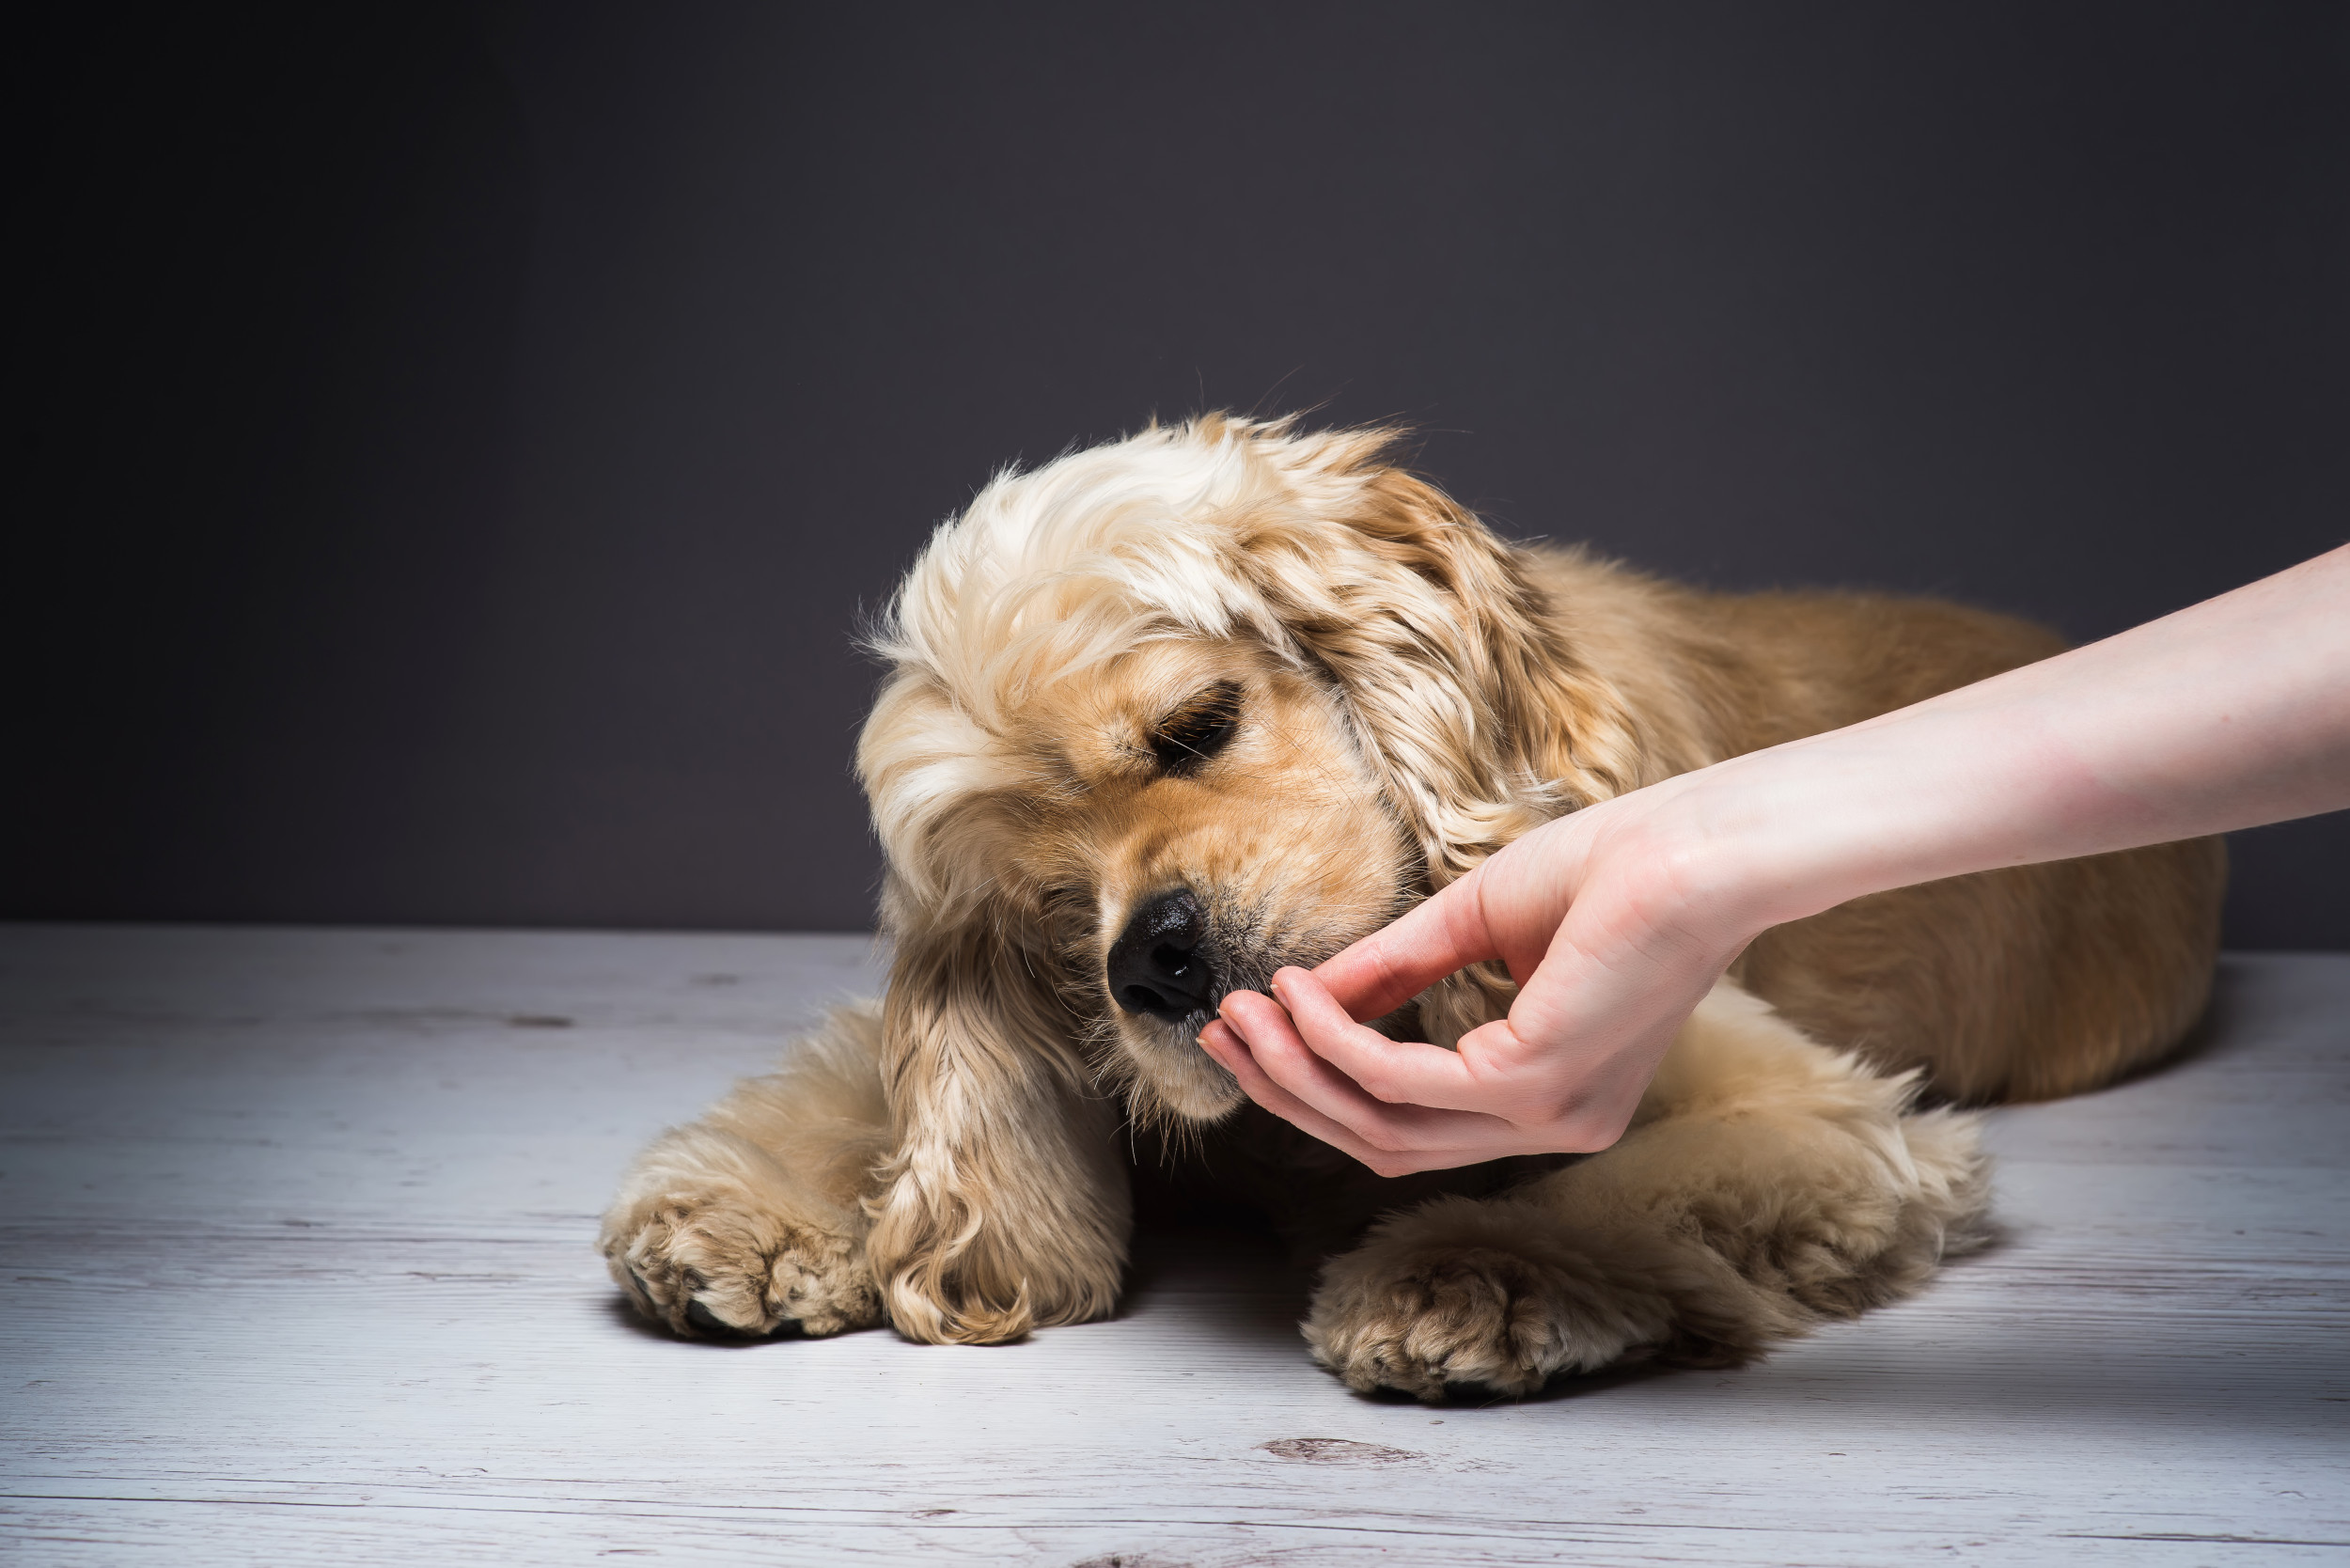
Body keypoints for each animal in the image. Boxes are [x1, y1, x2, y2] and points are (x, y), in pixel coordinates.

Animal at [592, 414, 2218, 1401]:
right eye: (1052, 901)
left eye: (1195, 726)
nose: (1153, 962)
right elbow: (876, 1085)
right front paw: (749, 1207)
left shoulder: (1839, 1123)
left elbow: (1623, 1183)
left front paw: (1467, 1275)